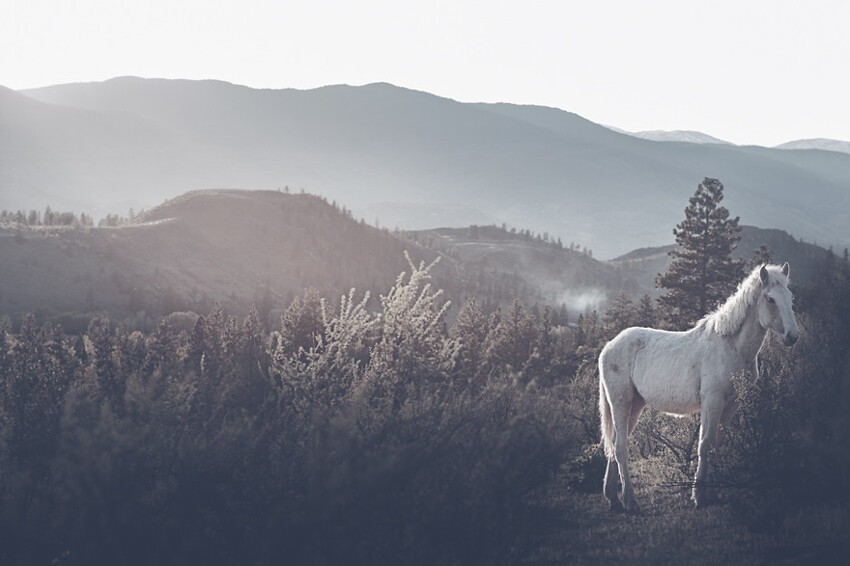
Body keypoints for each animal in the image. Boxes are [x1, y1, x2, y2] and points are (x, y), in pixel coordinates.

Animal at [596, 264, 796, 512]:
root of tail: (609, 346)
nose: (792, 336)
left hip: (635, 405)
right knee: (621, 447)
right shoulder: (712, 401)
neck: (730, 346)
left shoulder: (730, 404)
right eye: (771, 299)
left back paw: (613, 498)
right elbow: (705, 444)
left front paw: (714, 493)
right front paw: (698, 496)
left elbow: (717, 444)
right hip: (620, 402)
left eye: (790, 297)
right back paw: (631, 501)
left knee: (614, 443)